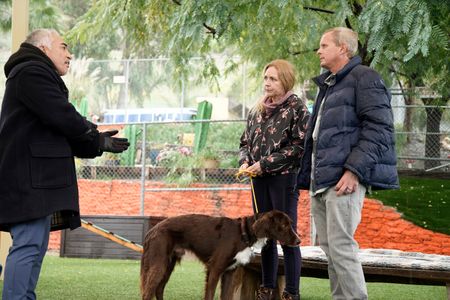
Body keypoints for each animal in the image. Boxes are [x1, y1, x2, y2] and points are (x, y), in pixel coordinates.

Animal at [140, 210, 298, 300]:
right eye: (284, 225)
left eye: (290, 223)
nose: (299, 240)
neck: (243, 233)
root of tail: (152, 230)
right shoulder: (215, 269)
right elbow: (210, 294)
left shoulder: (229, 272)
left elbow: (226, 296)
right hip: (159, 264)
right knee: (148, 292)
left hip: (168, 265)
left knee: (158, 289)